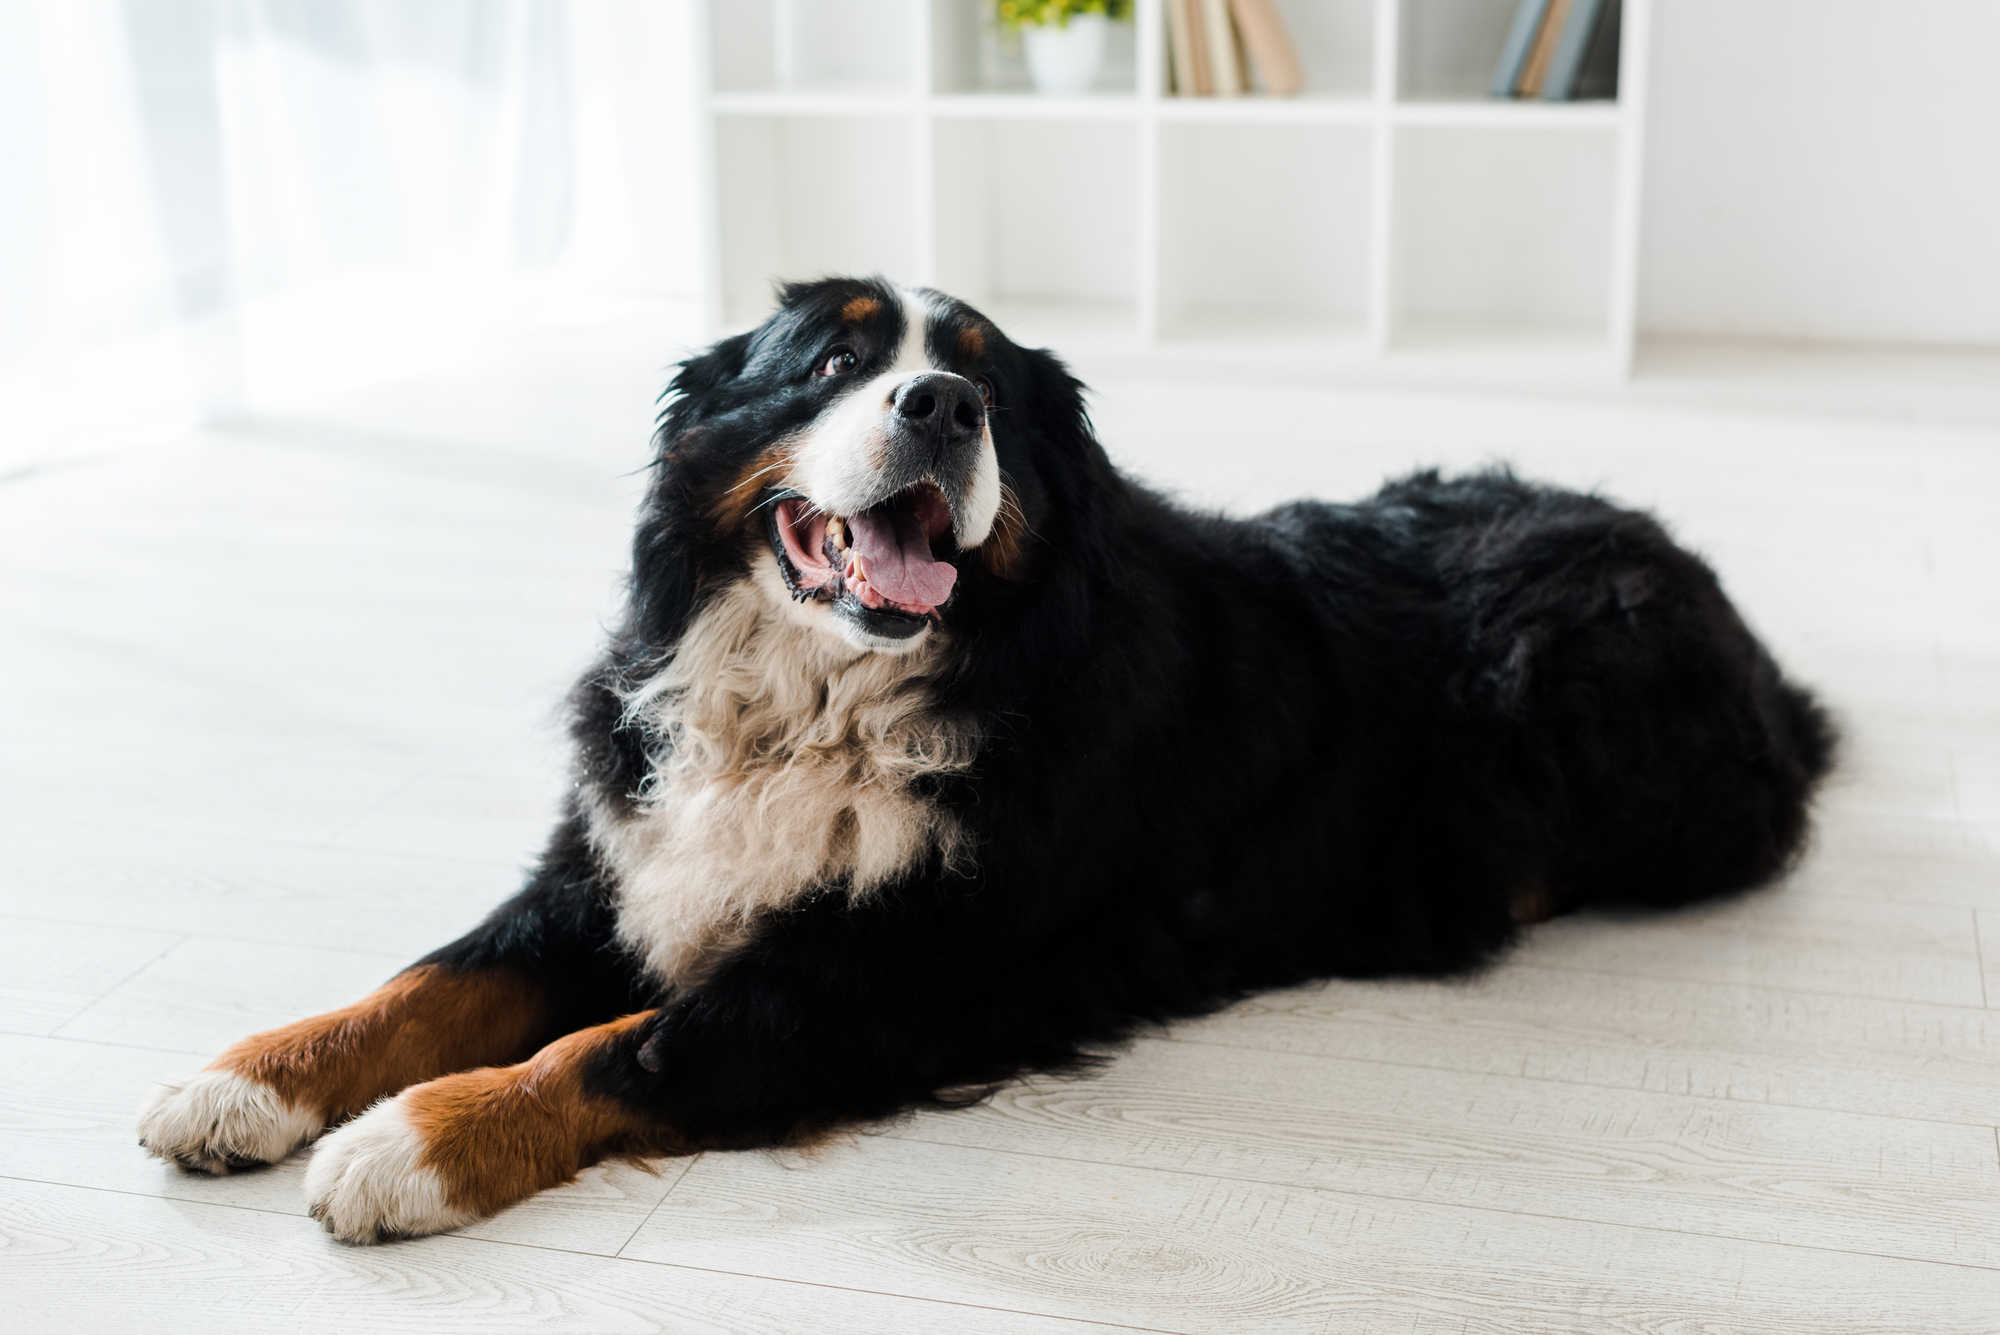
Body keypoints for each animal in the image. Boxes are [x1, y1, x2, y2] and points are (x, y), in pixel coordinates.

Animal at [133, 273, 1832, 1239]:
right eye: (827, 362)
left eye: (993, 386)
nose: (940, 402)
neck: (822, 695)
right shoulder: (618, 859)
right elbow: (429, 981)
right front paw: (247, 1076)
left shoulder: (890, 974)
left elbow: (616, 1044)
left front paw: (407, 1143)